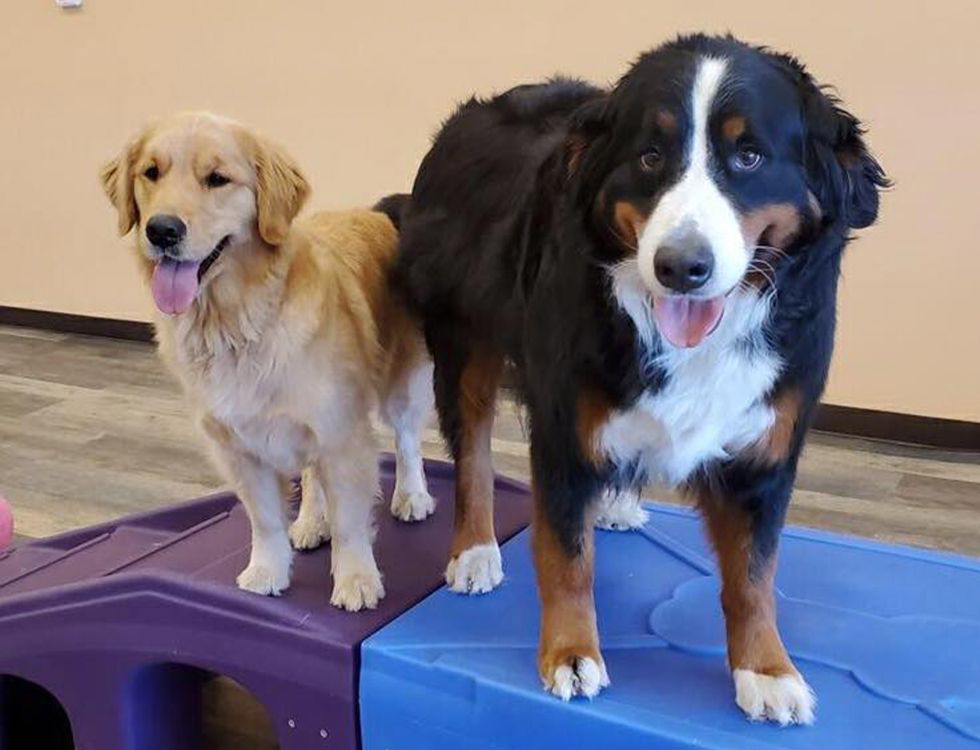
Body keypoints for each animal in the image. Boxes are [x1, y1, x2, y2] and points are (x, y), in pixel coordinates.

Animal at [388, 35, 888, 728]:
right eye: (651, 156)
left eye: (749, 156)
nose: (681, 266)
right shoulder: (565, 425)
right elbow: (566, 556)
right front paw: (571, 653)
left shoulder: (766, 447)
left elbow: (754, 574)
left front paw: (767, 670)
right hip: (466, 346)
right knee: (473, 456)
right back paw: (475, 549)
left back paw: (616, 504)